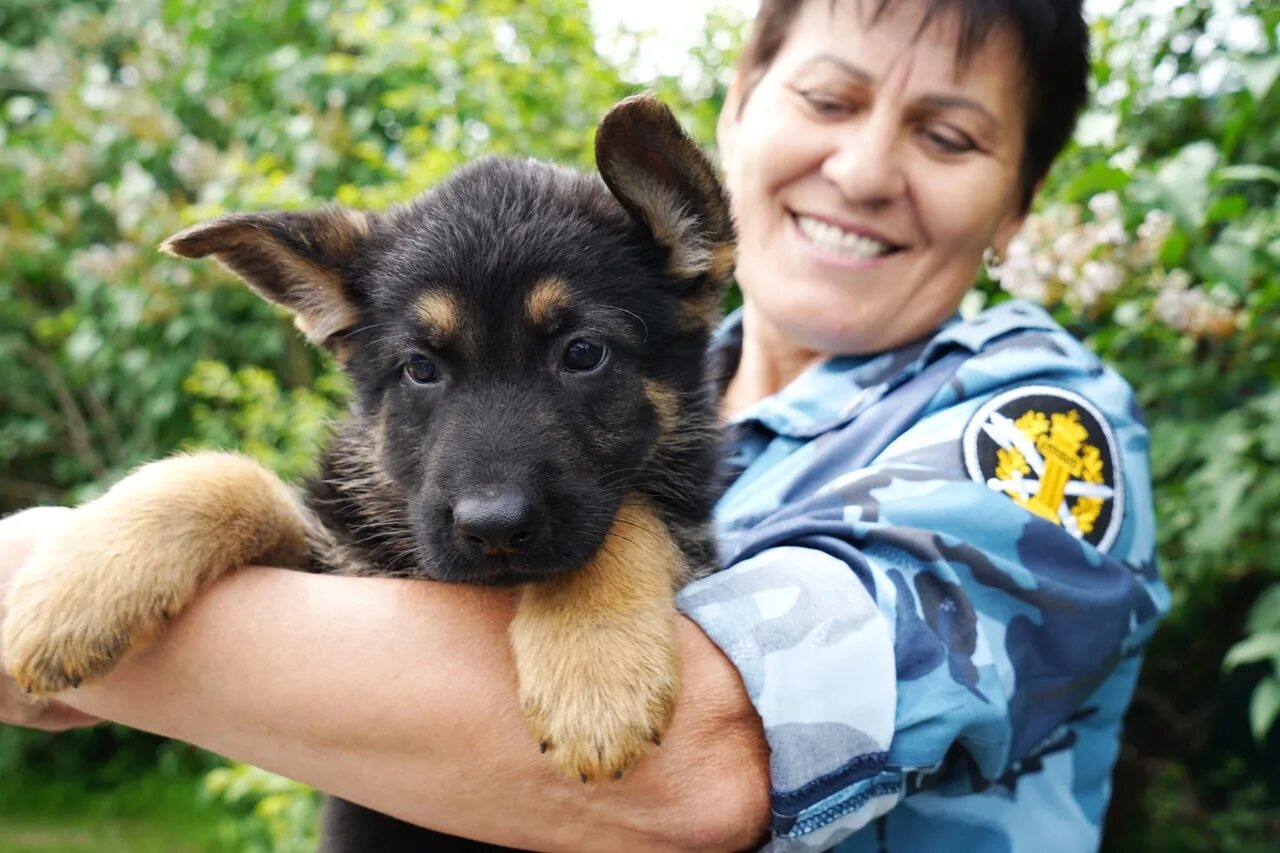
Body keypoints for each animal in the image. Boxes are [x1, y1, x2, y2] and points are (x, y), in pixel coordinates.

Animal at [2, 92, 732, 845]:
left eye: (584, 353)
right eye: (419, 369)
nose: (493, 527)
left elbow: (629, 514)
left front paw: (596, 671)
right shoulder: (333, 560)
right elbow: (233, 476)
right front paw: (78, 584)